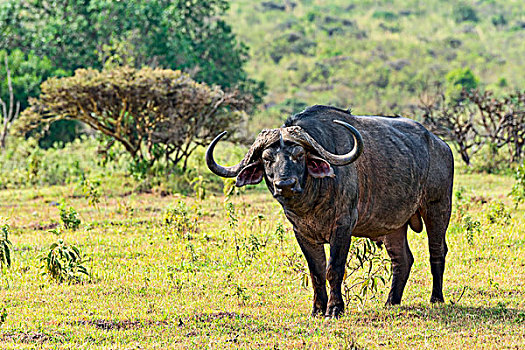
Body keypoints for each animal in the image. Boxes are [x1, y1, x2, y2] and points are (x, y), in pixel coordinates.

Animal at [207, 106, 452, 318]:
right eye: (267, 159)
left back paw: (436, 298)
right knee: (402, 259)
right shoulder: (302, 233)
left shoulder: (343, 227)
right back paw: (391, 302)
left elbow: (334, 269)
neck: (311, 202)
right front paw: (317, 309)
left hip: (437, 209)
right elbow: (316, 271)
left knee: (437, 251)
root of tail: (441, 145)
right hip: (393, 225)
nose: (285, 184)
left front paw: (334, 309)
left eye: (299, 155)